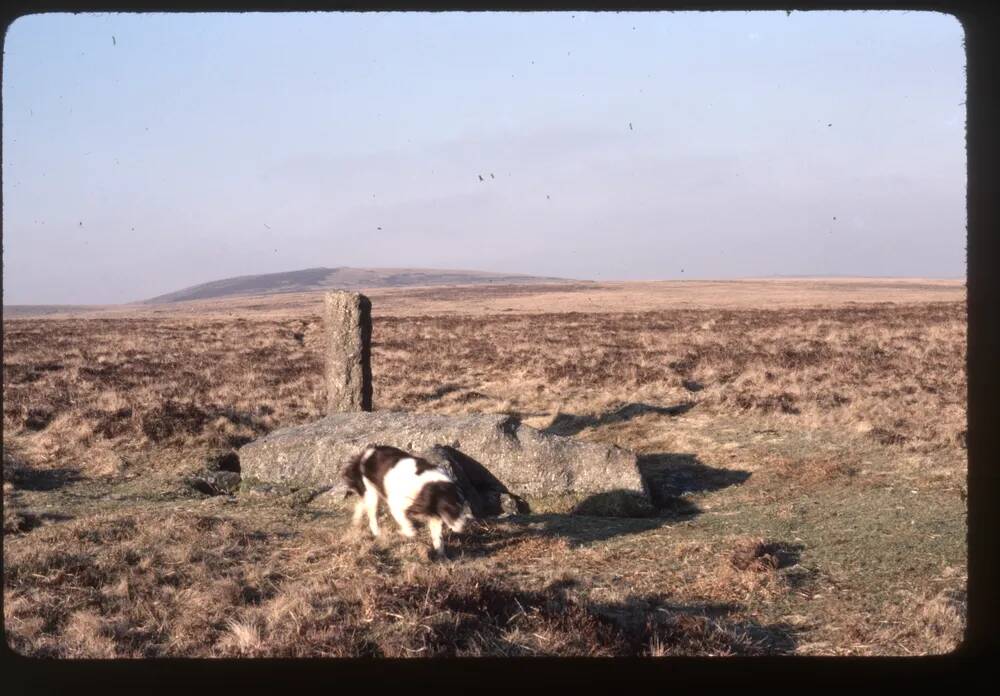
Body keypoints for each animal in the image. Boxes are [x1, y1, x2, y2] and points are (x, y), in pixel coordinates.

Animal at [340, 446, 472, 560]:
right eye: (451, 508)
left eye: (462, 507)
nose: (464, 526)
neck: (426, 487)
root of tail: (366, 453)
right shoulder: (397, 506)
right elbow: (410, 528)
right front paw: (405, 533)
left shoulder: (434, 513)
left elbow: (437, 537)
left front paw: (442, 556)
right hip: (372, 494)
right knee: (372, 516)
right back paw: (377, 532)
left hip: (374, 493)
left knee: (360, 505)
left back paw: (356, 521)